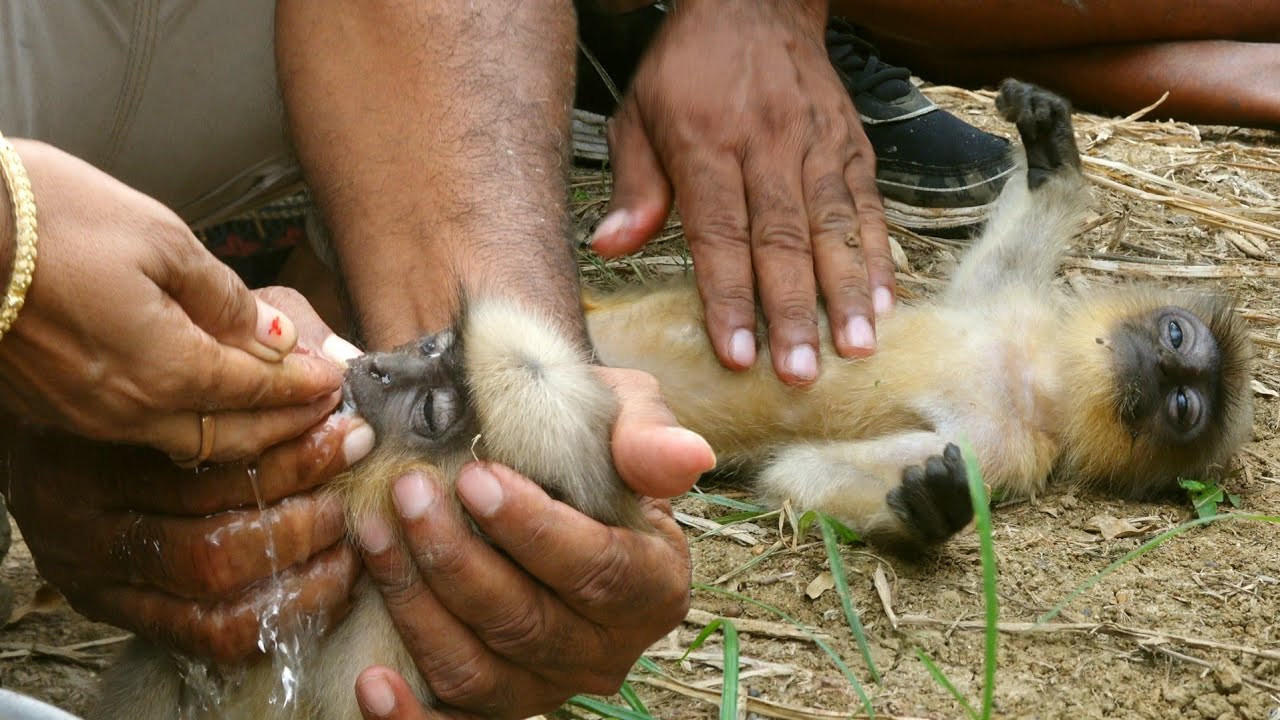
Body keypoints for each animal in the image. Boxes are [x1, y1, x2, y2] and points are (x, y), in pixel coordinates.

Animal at [90, 79, 1254, 718]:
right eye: (1177, 341)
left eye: (1186, 413)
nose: (1172, 377)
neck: (1037, 376)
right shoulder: (1001, 314)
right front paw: (1051, 151)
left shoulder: (1010, 445)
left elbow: (811, 477)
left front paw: (926, 508)